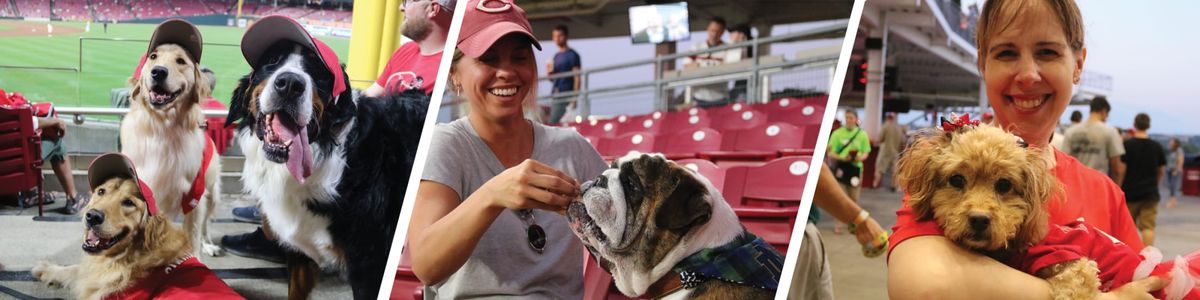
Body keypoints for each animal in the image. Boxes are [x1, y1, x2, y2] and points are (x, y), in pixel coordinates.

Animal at [32, 153, 241, 298]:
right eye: (101, 191)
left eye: (129, 203)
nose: (92, 216)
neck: (131, 254)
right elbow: (77, 269)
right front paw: (49, 270)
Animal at [121, 18, 225, 258]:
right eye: (153, 57)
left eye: (181, 61)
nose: (158, 72)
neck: (161, 128)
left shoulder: (195, 197)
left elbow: (193, 235)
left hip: (212, 194)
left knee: (205, 226)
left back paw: (209, 245)